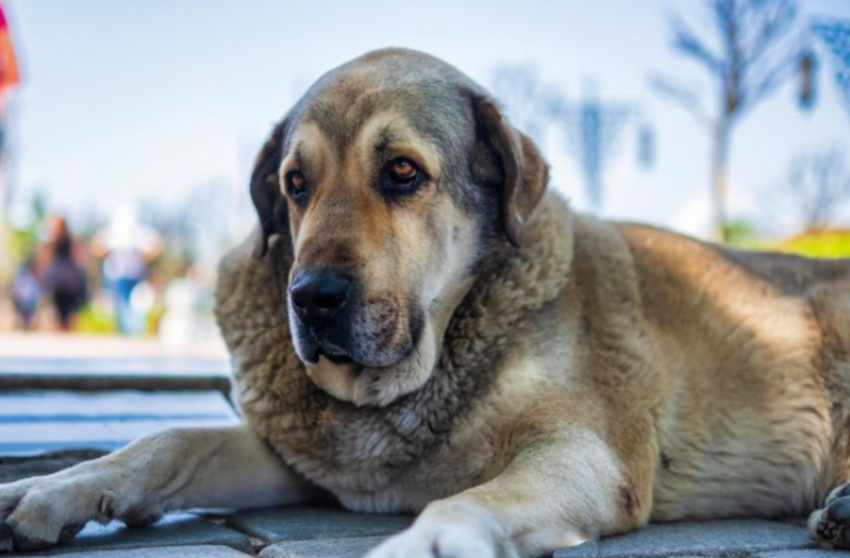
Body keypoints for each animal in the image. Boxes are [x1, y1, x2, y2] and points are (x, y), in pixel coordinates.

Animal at [1, 49, 848, 558]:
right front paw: (52, 488)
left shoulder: (584, 453)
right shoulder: (305, 463)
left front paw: (425, 541)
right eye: (295, 184)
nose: (311, 298)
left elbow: (462, 503)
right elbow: (169, 442)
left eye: (403, 171)